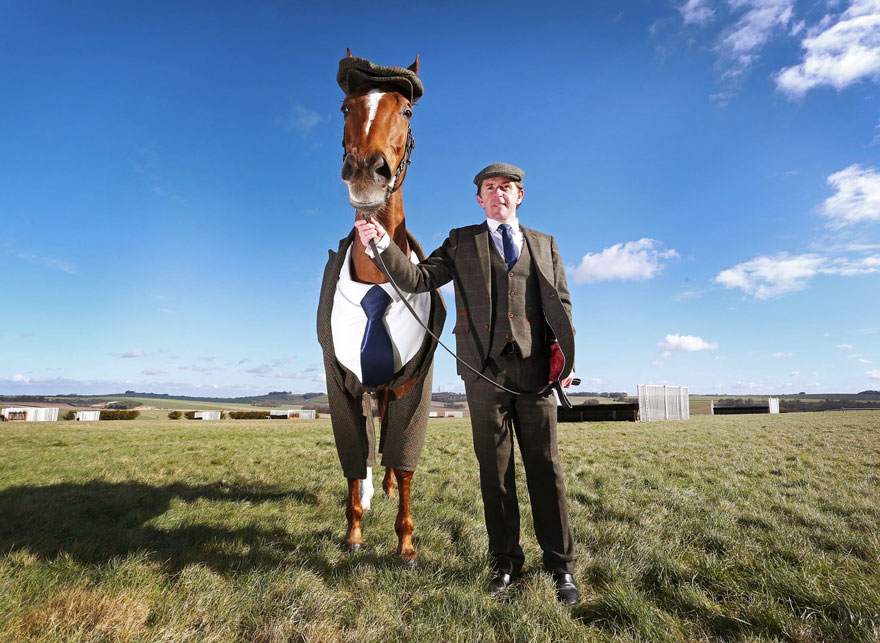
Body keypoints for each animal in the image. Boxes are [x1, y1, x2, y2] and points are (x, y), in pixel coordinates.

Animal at [316, 51, 445, 561]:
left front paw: (405, 541)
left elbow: (404, 456)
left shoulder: (413, 383)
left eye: (406, 110)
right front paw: (354, 530)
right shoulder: (341, 382)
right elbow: (354, 455)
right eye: (345, 106)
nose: (367, 171)